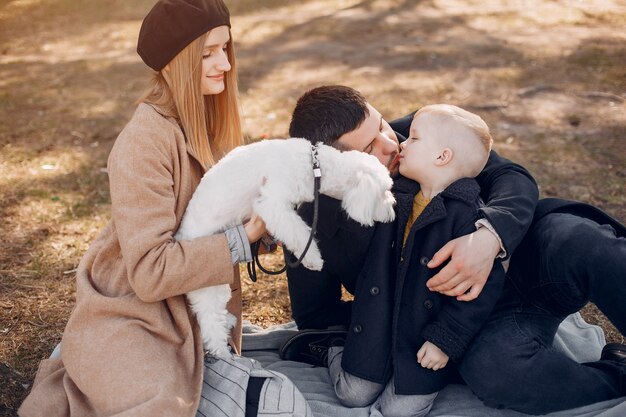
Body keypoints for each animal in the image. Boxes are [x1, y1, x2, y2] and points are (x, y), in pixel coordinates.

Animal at [173, 138, 392, 356]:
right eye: (384, 193)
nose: (392, 212)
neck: (316, 167)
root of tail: (181, 238)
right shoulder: (272, 204)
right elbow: (299, 232)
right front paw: (313, 259)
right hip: (208, 287)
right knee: (210, 323)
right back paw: (223, 353)